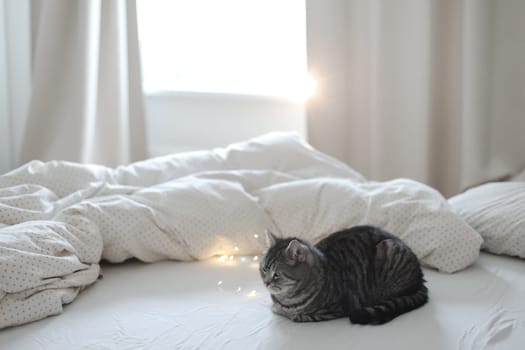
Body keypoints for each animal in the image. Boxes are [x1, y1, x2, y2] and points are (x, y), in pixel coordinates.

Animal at [260, 226, 428, 324]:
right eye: (264, 269)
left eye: (277, 275)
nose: (266, 283)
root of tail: (421, 278)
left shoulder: (335, 309)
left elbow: (296, 316)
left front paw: (281, 310)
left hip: (389, 250)